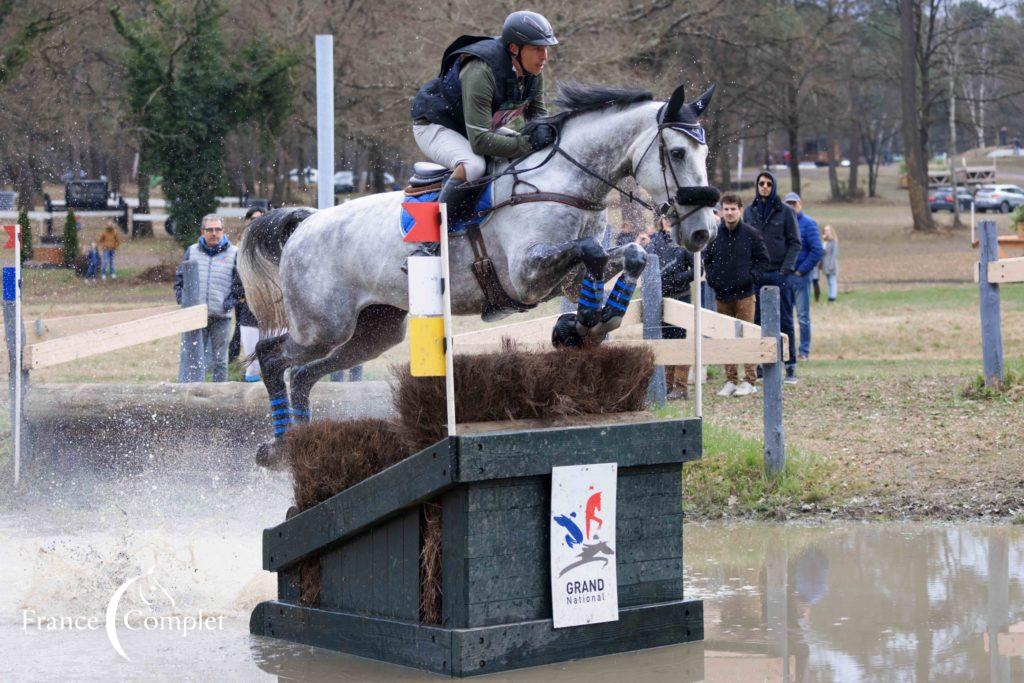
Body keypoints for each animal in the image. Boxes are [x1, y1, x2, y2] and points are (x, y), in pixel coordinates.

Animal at [239, 80, 720, 464]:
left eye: (706, 152)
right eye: (678, 152)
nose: (702, 231)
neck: (564, 182)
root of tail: (306, 223)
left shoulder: (565, 276)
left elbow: (626, 257)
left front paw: (592, 323)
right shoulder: (526, 275)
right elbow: (591, 253)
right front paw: (584, 321)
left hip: (374, 332)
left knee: (303, 374)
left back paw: (295, 442)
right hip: (322, 325)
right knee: (272, 357)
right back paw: (277, 447)